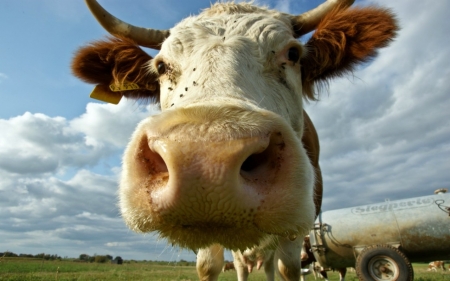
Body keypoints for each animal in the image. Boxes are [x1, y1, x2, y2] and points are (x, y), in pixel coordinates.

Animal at [70, 1, 398, 278]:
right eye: (161, 66)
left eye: (292, 54)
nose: (205, 163)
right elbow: (209, 267)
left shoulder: (302, 220)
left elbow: (289, 268)